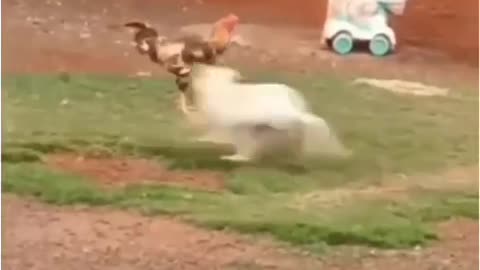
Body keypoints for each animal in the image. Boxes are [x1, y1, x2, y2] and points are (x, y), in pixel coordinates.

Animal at [188, 64, 348, 161]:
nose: (195, 66)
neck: (220, 87)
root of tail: (294, 109)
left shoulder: (236, 125)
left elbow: (241, 144)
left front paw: (236, 157)